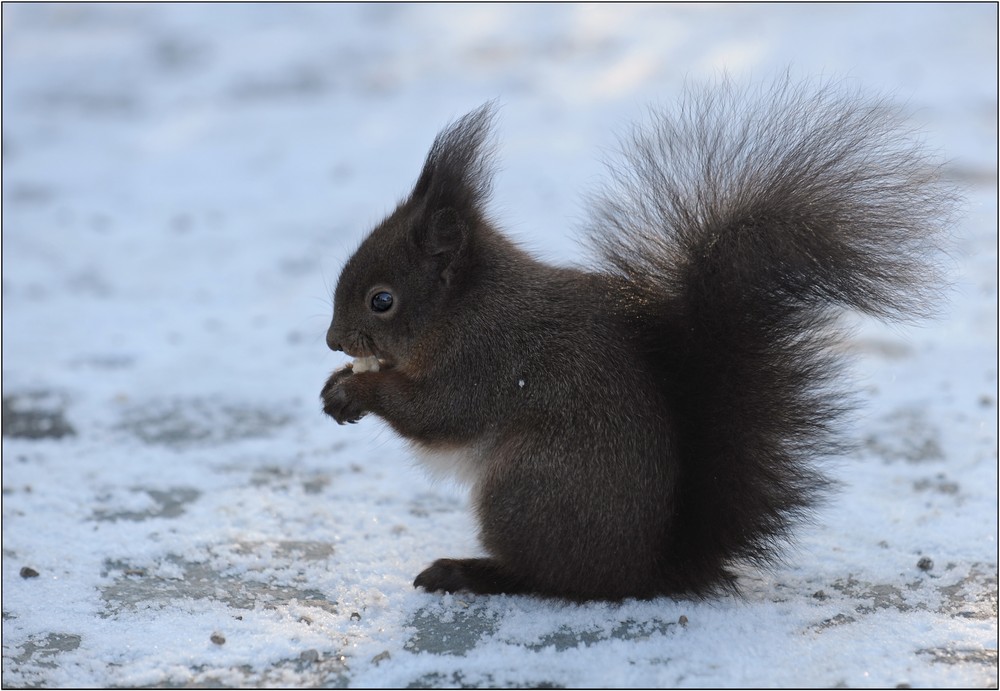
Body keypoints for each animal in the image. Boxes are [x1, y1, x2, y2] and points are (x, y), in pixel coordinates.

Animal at [320, 79, 952, 600]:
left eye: (382, 300)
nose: (331, 341)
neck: (464, 307)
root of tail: (646, 568)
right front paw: (336, 383)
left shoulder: (488, 357)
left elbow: (438, 412)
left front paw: (355, 392)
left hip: (528, 487)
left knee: (552, 580)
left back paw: (470, 573)